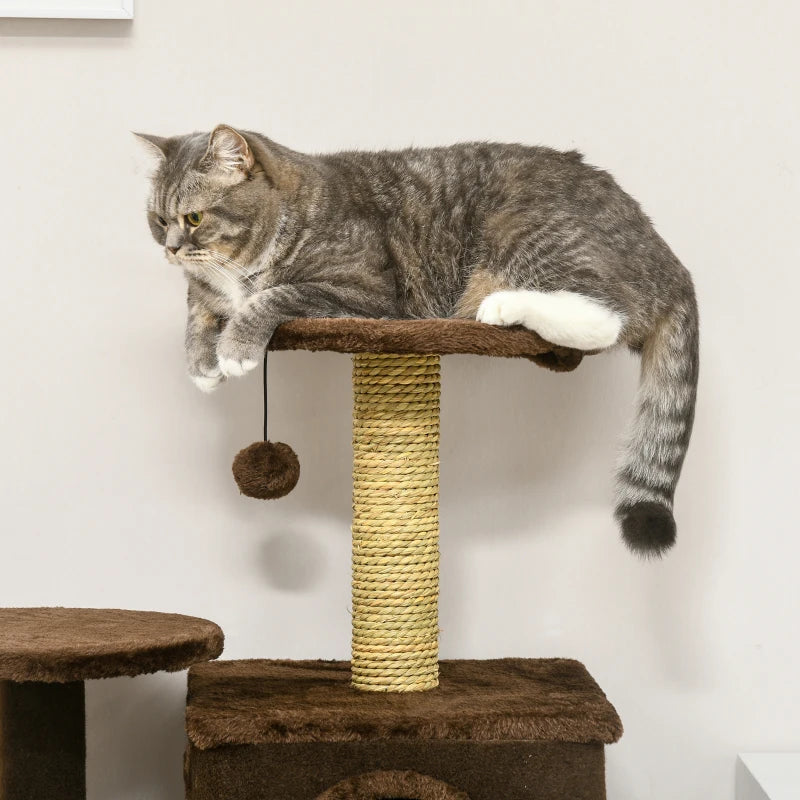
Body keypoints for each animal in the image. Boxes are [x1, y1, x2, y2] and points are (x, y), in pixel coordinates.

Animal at [139, 123, 700, 556]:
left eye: (194, 218)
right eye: (158, 220)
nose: (170, 249)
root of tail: (669, 260)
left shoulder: (365, 292)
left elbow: (274, 295)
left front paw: (234, 348)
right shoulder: (205, 291)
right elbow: (196, 309)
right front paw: (201, 362)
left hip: (526, 229)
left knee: (606, 313)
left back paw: (502, 308)